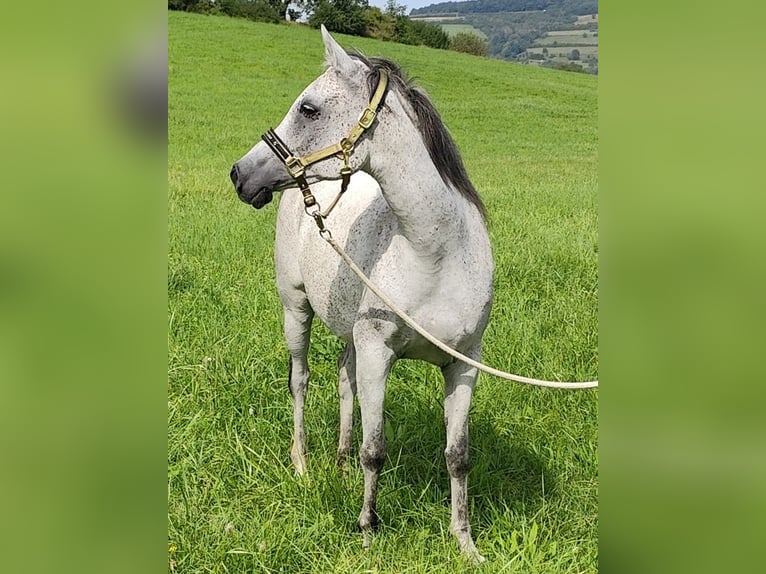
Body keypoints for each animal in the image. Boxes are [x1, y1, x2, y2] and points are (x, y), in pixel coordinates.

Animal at [230, 28, 492, 568]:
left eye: (308, 109)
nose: (240, 174)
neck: (435, 254)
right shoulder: (379, 354)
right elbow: (378, 449)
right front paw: (369, 531)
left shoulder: (463, 364)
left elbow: (458, 457)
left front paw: (466, 544)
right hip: (295, 310)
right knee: (302, 382)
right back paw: (304, 463)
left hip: (350, 333)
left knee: (342, 380)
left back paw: (341, 462)